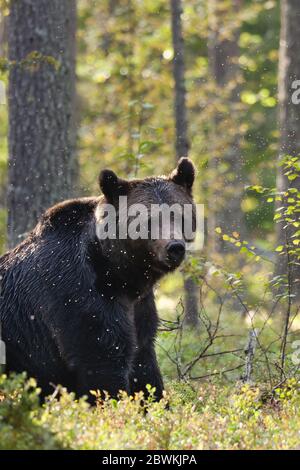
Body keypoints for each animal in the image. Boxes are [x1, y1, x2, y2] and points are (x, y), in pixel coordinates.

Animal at [0, 158, 196, 400]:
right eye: (148, 219)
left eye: (180, 215)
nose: (174, 248)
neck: (120, 274)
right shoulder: (77, 294)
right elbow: (101, 361)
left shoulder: (140, 306)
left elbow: (144, 364)